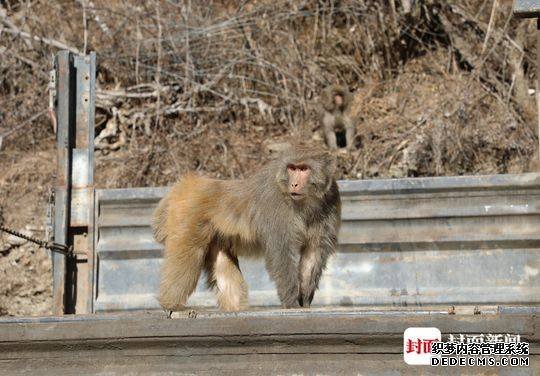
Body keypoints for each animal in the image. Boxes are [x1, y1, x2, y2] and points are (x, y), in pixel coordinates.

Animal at [152, 143, 340, 312]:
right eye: (292, 168)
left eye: (304, 169)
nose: (294, 184)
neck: (306, 202)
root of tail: (184, 185)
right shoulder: (276, 207)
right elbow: (282, 254)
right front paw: (292, 303)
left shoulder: (331, 199)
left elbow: (313, 253)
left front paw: (305, 301)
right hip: (186, 219)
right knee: (187, 254)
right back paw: (171, 304)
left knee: (221, 262)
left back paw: (234, 307)